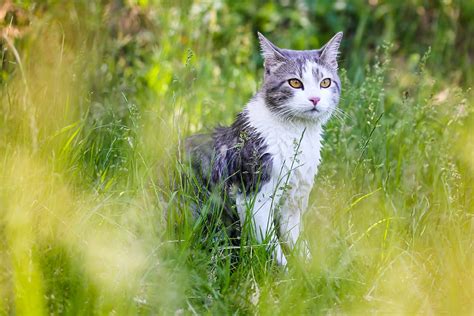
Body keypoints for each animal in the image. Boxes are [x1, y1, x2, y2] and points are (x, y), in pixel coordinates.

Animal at [183, 31, 342, 264]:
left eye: (325, 82)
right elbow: (273, 248)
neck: (296, 133)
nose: (315, 98)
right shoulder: (253, 198)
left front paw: (312, 270)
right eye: (295, 83)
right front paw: (284, 272)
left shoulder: (294, 201)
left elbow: (298, 244)